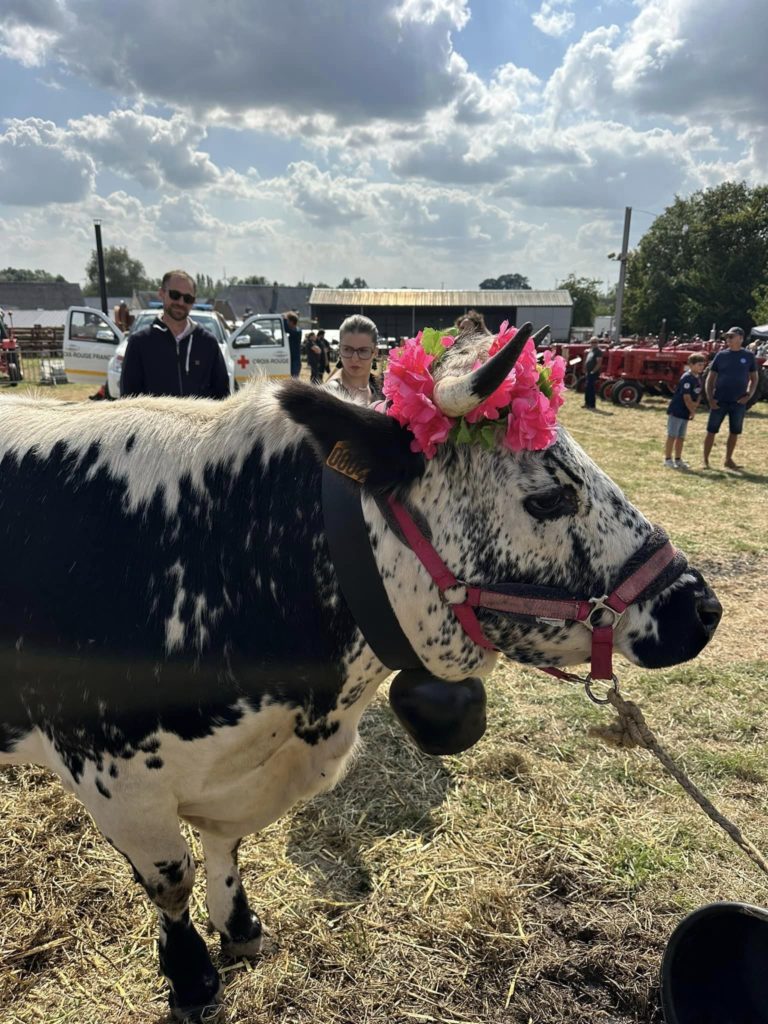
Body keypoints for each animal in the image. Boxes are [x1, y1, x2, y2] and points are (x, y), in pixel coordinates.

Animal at [0, 331, 720, 1019]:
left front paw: (241, 926)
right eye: (548, 497)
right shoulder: (115, 777)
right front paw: (191, 976)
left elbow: (225, 845)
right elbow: (170, 882)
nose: (699, 610)